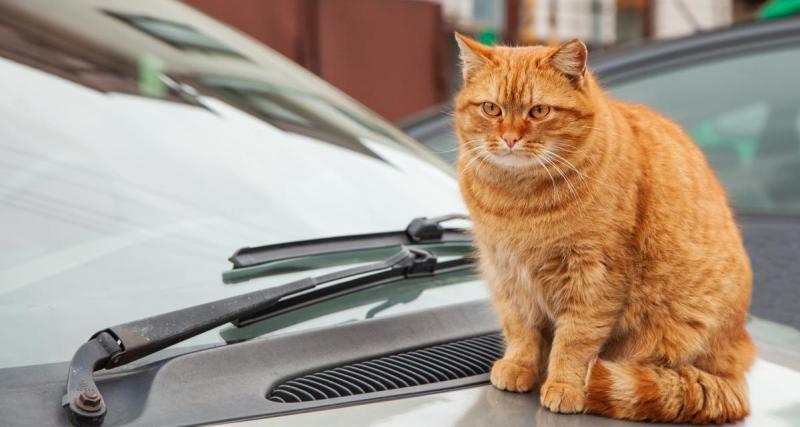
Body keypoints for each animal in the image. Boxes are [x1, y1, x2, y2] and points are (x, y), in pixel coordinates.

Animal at [454, 34, 752, 424]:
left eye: (539, 111)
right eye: (491, 109)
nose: (510, 139)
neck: (519, 201)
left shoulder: (595, 275)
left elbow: (575, 340)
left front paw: (564, 385)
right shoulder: (505, 271)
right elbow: (519, 327)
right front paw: (519, 366)